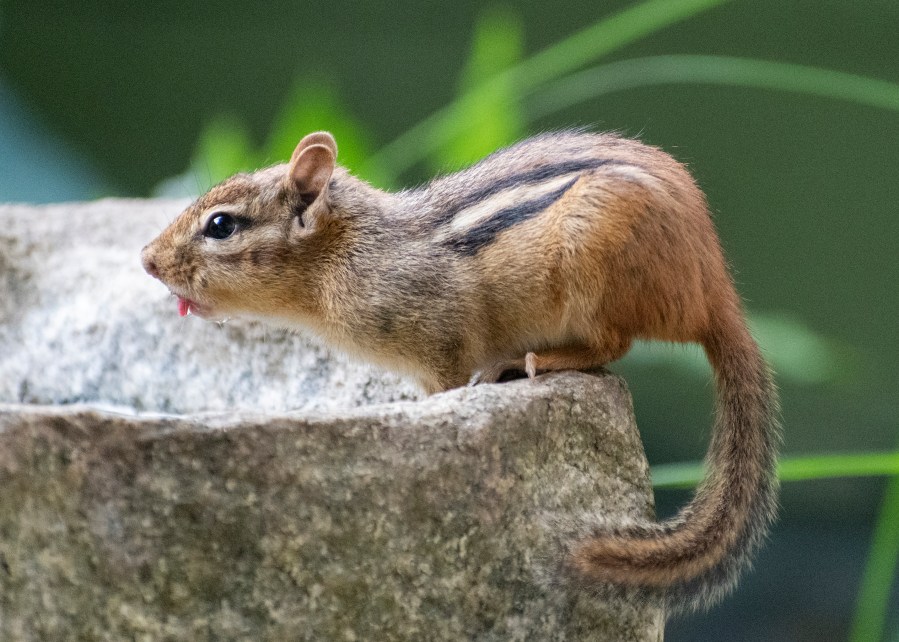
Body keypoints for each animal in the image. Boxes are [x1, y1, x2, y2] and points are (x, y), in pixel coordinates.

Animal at [141, 130, 779, 612]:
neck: (351, 252)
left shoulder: (440, 346)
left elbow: (445, 389)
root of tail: (713, 292)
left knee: (610, 346)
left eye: (221, 226)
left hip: (596, 260)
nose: (146, 260)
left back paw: (532, 361)